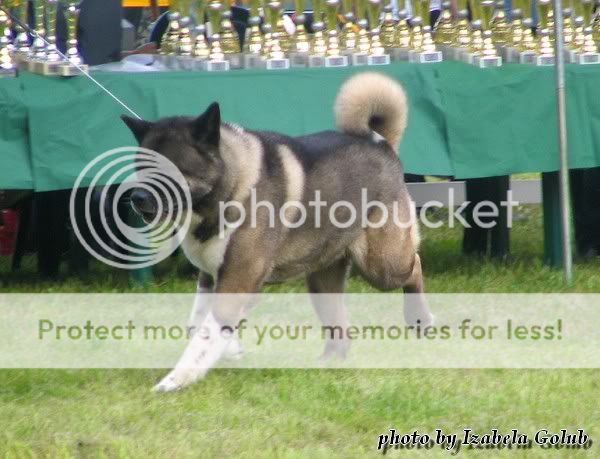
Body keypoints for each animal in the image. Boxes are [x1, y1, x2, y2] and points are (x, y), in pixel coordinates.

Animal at [121, 72, 433, 392]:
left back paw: (421, 320)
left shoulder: (237, 279)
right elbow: (198, 323)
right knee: (341, 327)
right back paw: (326, 363)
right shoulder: (211, 277)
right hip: (322, 279)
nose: (136, 197)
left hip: (381, 264)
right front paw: (232, 349)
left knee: (415, 267)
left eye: (169, 170)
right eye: (139, 167)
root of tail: (380, 143)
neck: (230, 188)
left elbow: (206, 334)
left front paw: (174, 381)